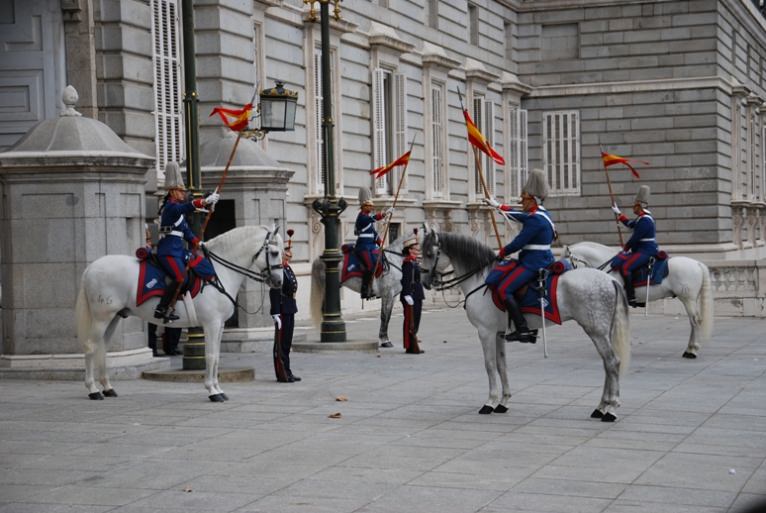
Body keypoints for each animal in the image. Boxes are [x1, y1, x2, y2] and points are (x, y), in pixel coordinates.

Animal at [76, 224, 284, 400]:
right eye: (274, 253)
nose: (279, 281)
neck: (218, 272)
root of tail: (91, 267)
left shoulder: (220, 325)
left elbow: (216, 356)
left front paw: (218, 388)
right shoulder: (211, 323)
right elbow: (210, 355)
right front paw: (212, 391)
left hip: (114, 317)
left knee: (102, 348)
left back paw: (107, 387)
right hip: (102, 317)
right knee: (90, 347)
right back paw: (93, 390)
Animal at [420, 227, 632, 420]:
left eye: (429, 254)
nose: (424, 282)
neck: (480, 280)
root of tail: (610, 279)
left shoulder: (485, 332)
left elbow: (489, 365)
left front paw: (490, 402)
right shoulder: (498, 333)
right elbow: (501, 365)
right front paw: (503, 402)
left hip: (596, 330)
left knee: (612, 362)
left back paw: (611, 409)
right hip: (602, 331)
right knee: (607, 364)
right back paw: (601, 407)